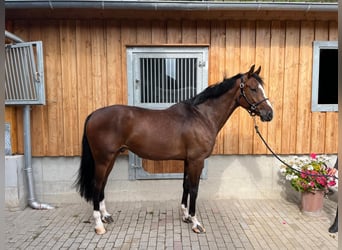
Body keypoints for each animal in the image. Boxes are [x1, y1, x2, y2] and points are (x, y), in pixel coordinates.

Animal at [74, 65, 272, 234]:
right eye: (253, 88)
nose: (269, 114)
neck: (202, 116)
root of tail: (93, 114)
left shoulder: (188, 160)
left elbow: (185, 186)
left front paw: (185, 216)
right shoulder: (197, 161)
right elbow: (194, 189)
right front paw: (196, 223)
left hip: (111, 158)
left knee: (102, 185)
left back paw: (106, 216)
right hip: (103, 159)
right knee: (96, 185)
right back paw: (99, 225)